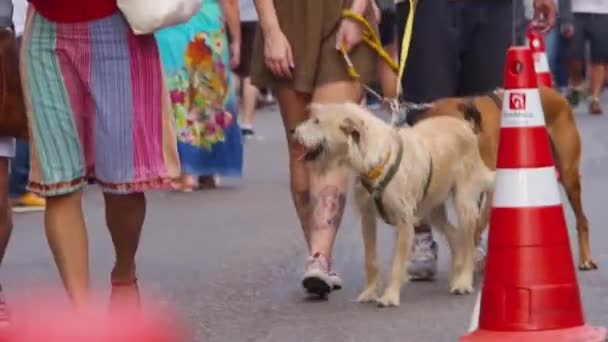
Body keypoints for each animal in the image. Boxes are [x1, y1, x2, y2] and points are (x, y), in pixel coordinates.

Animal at [294, 101, 494, 308]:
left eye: (317, 121)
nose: (294, 131)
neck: (378, 159)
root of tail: (466, 127)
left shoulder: (404, 221)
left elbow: (397, 263)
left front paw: (390, 296)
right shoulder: (367, 217)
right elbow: (371, 260)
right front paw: (370, 292)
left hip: (464, 204)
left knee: (469, 242)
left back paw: (463, 281)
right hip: (432, 209)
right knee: (455, 236)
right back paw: (456, 275)